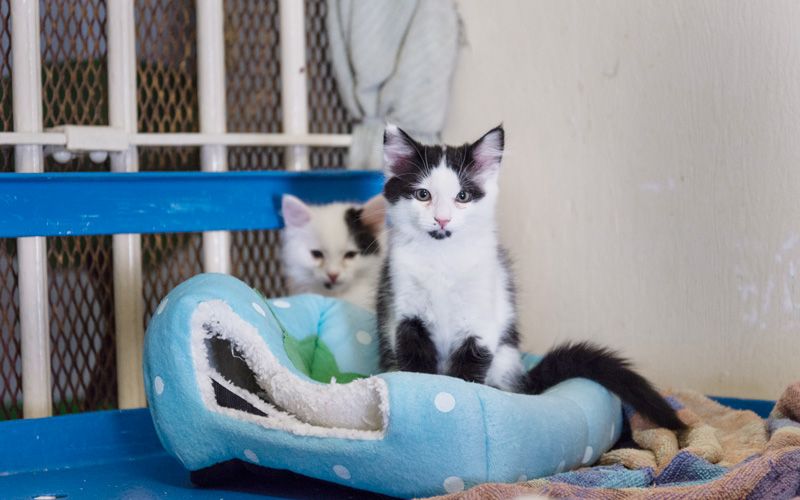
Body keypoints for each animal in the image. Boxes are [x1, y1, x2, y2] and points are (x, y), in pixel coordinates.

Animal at [378, 125, 684, 430]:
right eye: (423, 195)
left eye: (462, 196)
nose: (442, 219)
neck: (442, 256)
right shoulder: (405, 312)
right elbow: (414, 361)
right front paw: (426, 388)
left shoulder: (481, 316)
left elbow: (469, 366)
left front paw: (458, 395)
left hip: (505, 360)